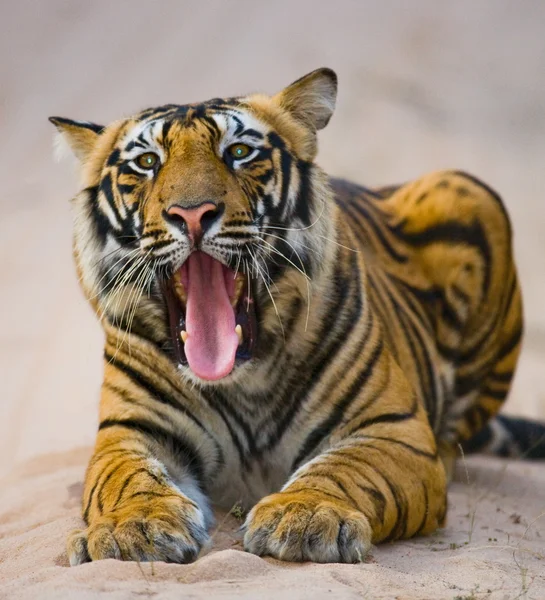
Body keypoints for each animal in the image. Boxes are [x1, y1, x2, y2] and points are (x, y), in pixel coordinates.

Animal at [49, 68, 540, 564]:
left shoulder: (391, 428)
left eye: (239, 153)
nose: (191, 213)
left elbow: (346, 468)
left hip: (465, 190)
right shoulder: (129, 432)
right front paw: (134, 527)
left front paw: (305, 515)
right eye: (147, 162)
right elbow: (128, 479)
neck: (240, 381)